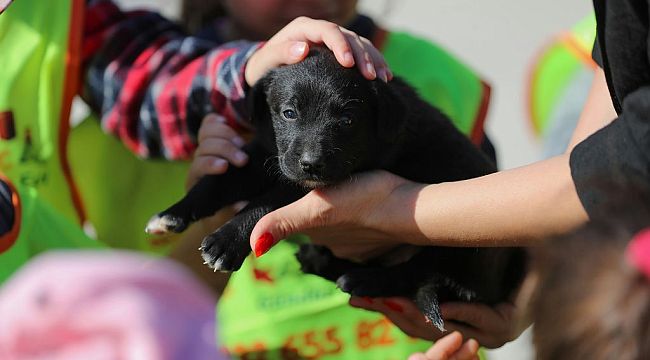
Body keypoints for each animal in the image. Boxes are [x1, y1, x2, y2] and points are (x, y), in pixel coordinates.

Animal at [147, 47, 520, 330]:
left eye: (347, 121)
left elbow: (264, 203)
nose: (311, 164)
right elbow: (216, 183)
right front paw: (171, 215)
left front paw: (227, 242)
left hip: (463, 244)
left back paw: (361, 279)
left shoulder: (311, 182)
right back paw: (324, 262)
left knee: (415, 274)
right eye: (289, 113)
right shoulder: (265, 153)